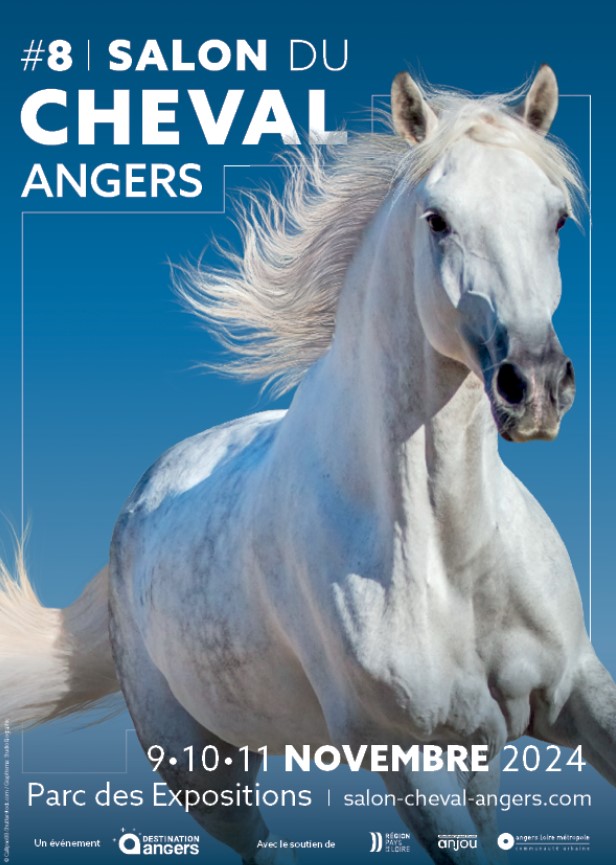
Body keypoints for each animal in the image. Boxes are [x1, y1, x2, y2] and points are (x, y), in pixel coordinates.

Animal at [1, 65, 615, 865]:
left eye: (557, 219)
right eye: (437, 220)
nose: (535, 386)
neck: (450, 556)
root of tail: (141, 497)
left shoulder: (573, 687)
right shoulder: (407, 753)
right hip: (205, 773)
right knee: (260, 843)